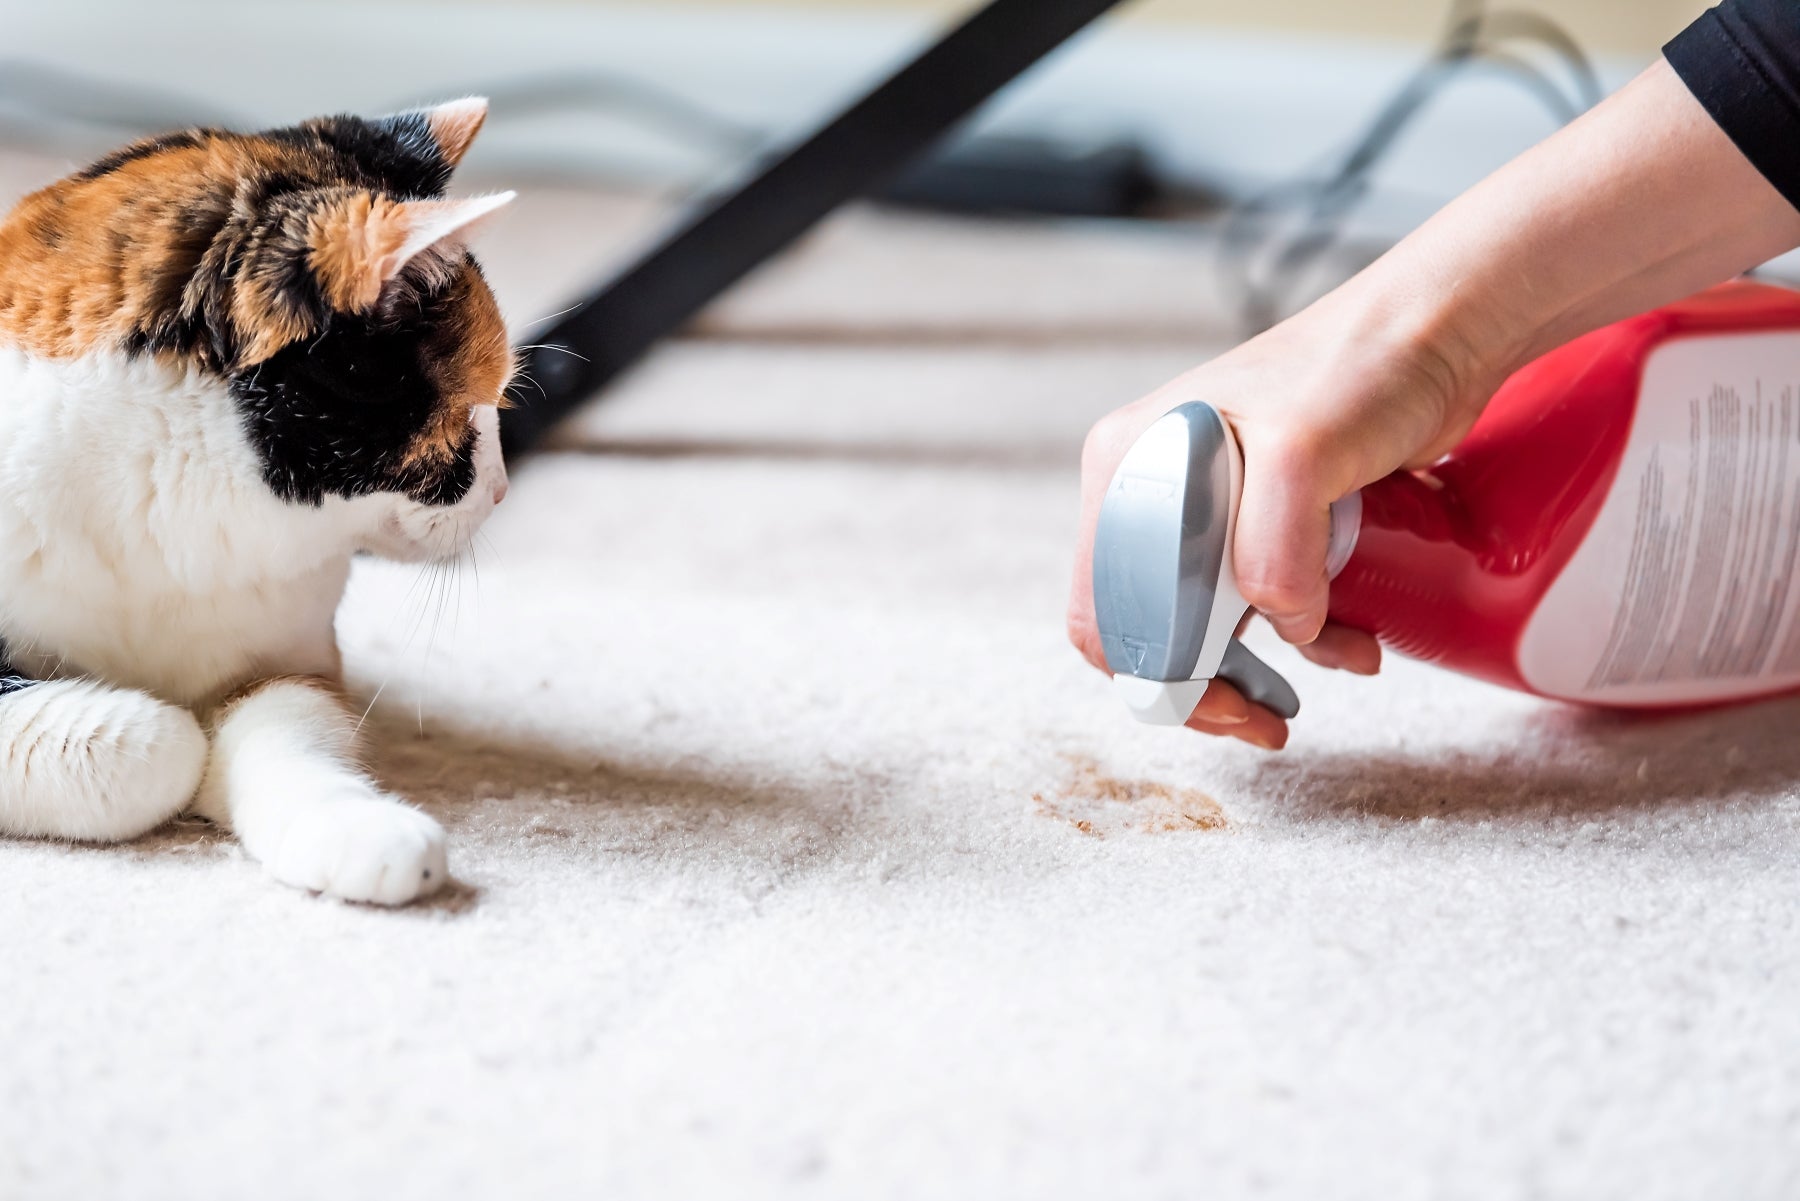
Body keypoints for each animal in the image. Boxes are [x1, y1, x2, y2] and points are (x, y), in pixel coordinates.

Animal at [0, 98, 514, 907]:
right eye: (469, 412)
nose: (501, 488)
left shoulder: (289, 661)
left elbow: (286, 733)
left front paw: (363, 832)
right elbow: (155, 745)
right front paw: (171, 737)